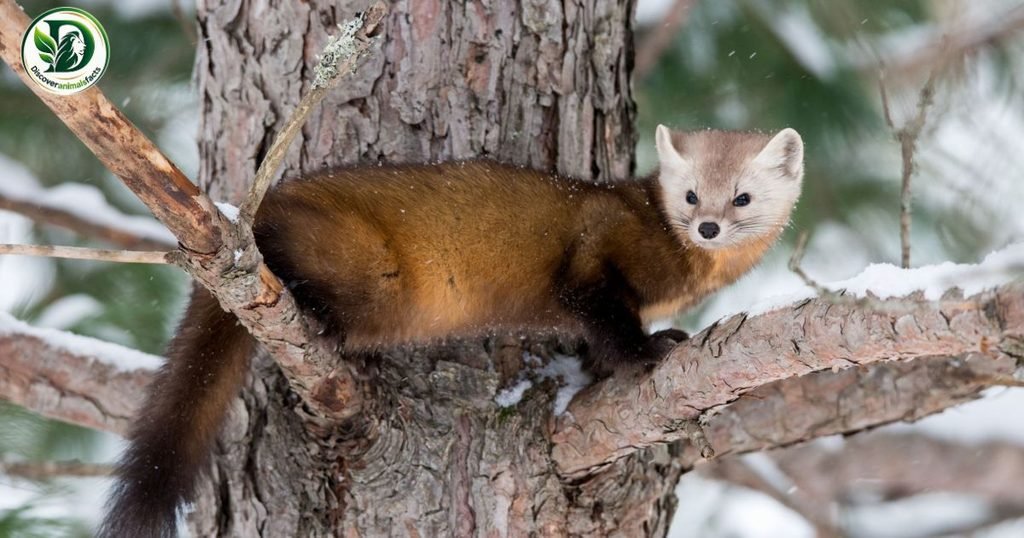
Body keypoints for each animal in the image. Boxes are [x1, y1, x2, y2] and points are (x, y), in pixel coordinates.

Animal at [99, 125, 804, 537]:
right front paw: (652, 350)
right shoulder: (596, 256)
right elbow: (601, 313)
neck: (682, 276)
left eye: (742, 197)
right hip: (355, 261)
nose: (708, 225)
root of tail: (257, 211)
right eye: (690, 195)